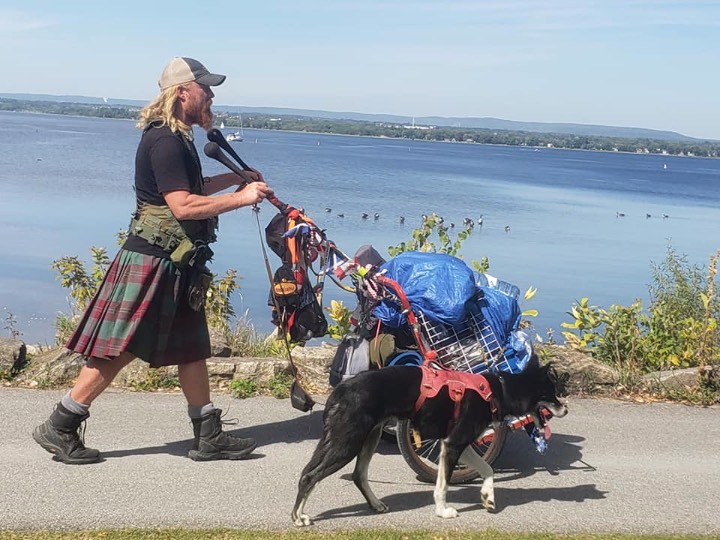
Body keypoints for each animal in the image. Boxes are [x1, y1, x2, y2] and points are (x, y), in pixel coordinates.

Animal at [291, 358, 568, 526]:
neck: (498, 390)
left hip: (368, 437)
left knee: (357, 474)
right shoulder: (454, 444)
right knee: (310, 476)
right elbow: (442, 486)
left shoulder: (457, 444)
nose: (565, 408)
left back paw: (375, 504)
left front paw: (488, 497)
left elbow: (487, 468)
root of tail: (338, 391)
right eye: (552, 395)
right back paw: (298, 516)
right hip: (347, 442)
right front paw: (443, 511)